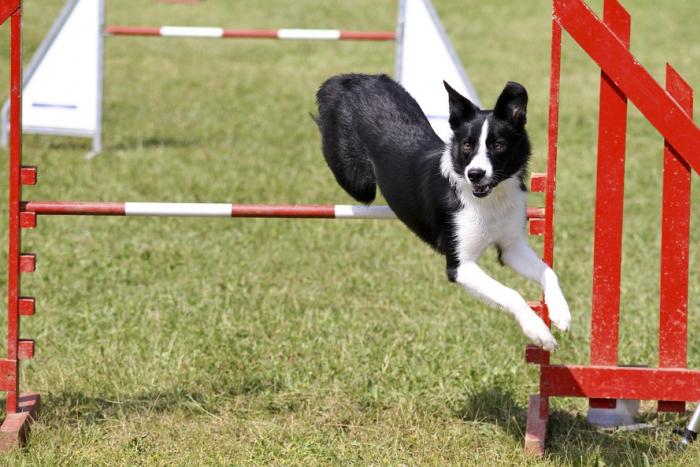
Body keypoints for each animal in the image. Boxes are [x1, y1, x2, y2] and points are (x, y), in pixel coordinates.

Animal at [314, 74, 572, 352]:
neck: (488, 201)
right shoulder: (460, 266)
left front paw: (561, 312)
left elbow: (549, 271)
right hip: (359, 184)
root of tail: (348, 79)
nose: (475, 174)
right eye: (467, 145)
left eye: (499, 145)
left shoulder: (511, 247)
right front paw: (539, 332)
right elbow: (511, 293)